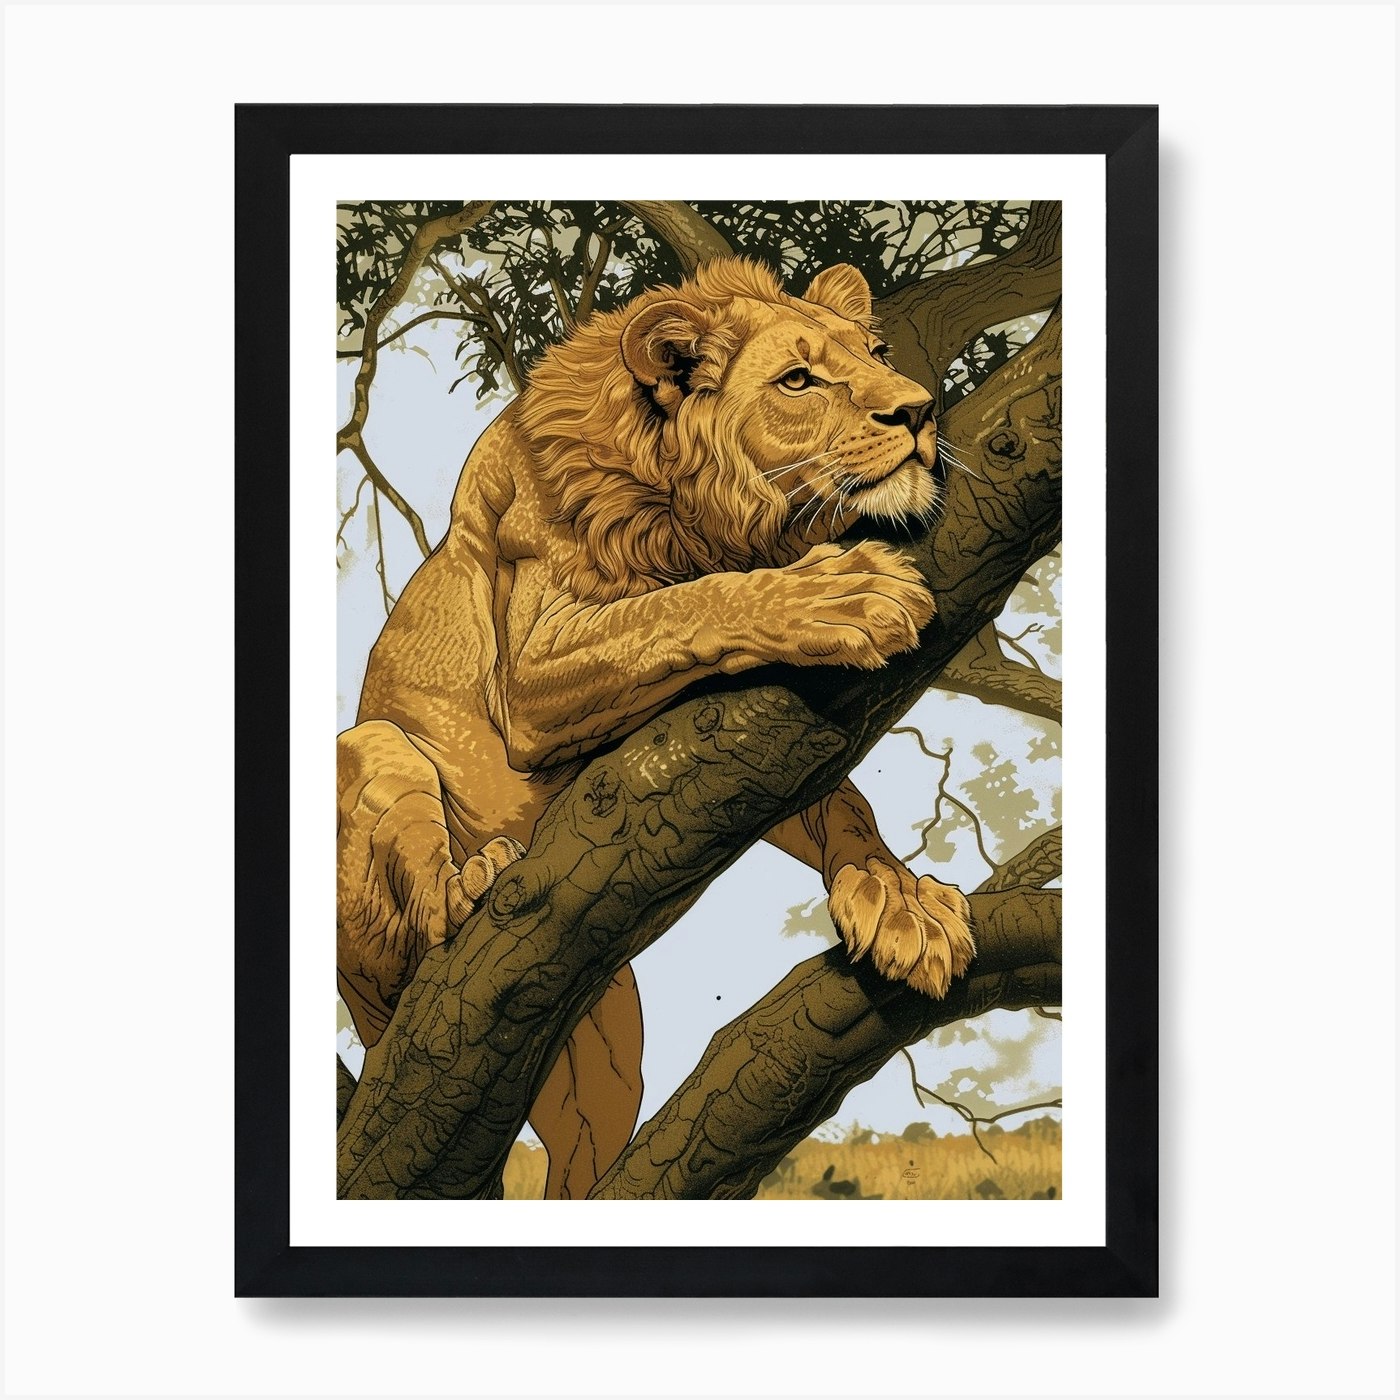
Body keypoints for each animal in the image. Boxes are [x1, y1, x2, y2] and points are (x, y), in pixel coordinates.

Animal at [337, 256, 976, 1199]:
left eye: (878, 355)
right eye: (799, 379)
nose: (922, 411)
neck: (701, 507)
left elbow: (843, 807)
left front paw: (901, 903)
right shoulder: (530, 673)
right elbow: (685, 604)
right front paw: (845, 593)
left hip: (603, 1058)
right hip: (372, 758)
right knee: (419, 923)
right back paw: (473, 882)